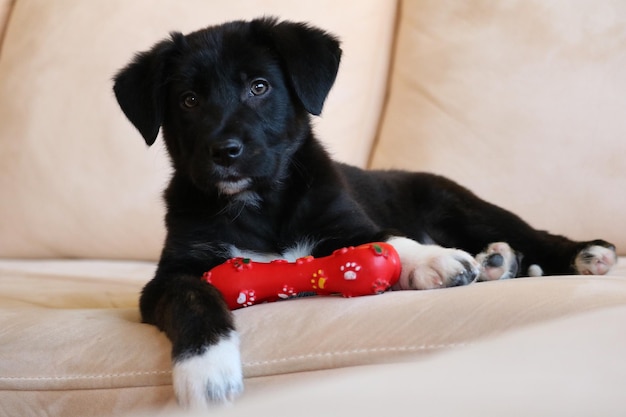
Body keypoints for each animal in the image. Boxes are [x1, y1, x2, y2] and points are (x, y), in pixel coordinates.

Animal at [112, 17, 616, 408]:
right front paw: (207, 372)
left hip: (462, 205)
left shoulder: (346, 224)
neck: (259, 202)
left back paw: (580, 253)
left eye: (259, 87)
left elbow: (388, 239)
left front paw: (432, 260)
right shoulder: (172, 273)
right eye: (188, 100)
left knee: (531, 233)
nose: (224, 152)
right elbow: (194, 298)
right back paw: (499, 263)